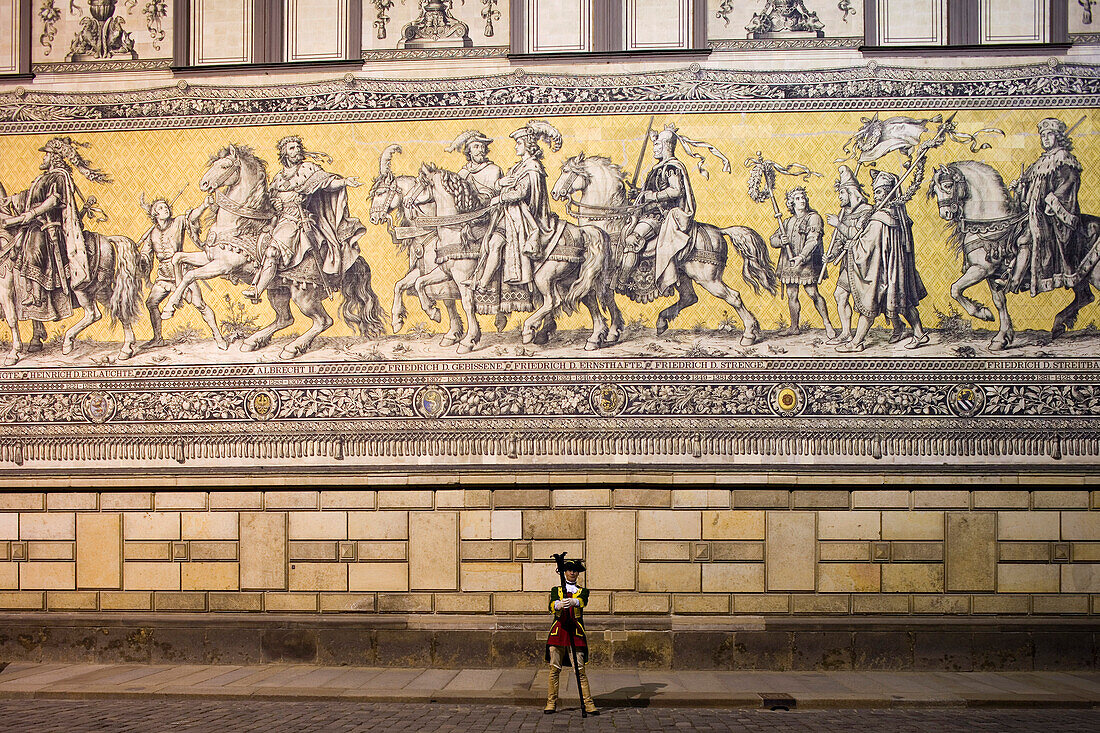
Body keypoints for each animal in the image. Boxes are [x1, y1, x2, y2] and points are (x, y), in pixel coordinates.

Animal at [159, 143, 387, 358]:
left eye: (224, 166)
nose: (204, 184)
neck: (237, 223)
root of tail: (345, 265)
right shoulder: (209, 256)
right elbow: (178, 260)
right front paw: (182, 299)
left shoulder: (224, 265)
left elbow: (190, 274)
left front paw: (169, 308)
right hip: (278, 290)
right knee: (285, 318)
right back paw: (253, 340)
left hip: (304, 295)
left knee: (323, 321)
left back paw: (292, 347)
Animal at [369, 145, 468, 347]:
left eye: (381, 193)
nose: (373, 218)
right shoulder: (421, 270)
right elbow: (400, 285)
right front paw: (397, 321)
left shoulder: (443, 274)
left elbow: (435, 293)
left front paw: (433, 312)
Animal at [404, 162, 611, 352]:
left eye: (421, 182)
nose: (406, 201)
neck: (457, 229)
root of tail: (581, 231)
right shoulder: (445, 272)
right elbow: (420, 283)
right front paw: (433, 312)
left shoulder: (462, 278)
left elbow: (468, 305)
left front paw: (468, 340)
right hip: (570, 276)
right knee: (588, 297)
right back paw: (595, 338)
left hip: (543, 277)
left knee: (553, 301)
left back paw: (529, 329)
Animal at [547, 151, 774, 345]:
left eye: (566, 171)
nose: (555, 193)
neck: (607, 222)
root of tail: (719, 230)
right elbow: (608, 301)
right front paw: (612, 332)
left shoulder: (600, 274)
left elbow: (598, 299)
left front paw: (597, 337)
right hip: (682, 274)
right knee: (690, 297)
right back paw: (662, 321)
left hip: (707, 278)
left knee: (733, 297)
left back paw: (749, 334)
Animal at [932, 161, 1100, 347]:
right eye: (935, 190)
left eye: (947, 185)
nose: (945, 213)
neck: (991, 224)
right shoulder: (992, 275)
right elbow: (999, 302)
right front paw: (1001, 337)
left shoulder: (981, 269)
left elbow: (955, 289)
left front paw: (983, 313)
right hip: (1080, 276)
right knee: (1085, 297)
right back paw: (1057, 325)